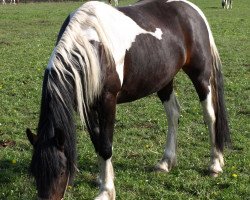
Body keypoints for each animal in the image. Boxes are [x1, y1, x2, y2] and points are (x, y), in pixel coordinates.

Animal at [25, 0, 230, 199]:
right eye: (34, 172)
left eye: (61, 171)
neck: (91, 47)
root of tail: (193, 10)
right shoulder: (88, 106)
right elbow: (98, 143)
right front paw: (103, 179)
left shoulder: (107, 102)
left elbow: (106, 146)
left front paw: (106, 191)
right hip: (164, 80)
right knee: (173, 114)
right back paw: (165, 162)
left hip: (201, 76)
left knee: (210, 116)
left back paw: (215, 164)